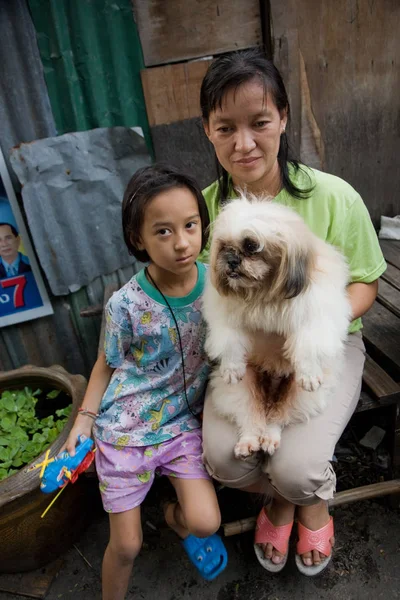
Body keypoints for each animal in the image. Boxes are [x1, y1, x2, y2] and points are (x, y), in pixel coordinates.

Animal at [203, 195, 350, 458]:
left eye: (251, 246)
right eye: (224, 246)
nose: (231, 260)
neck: (261, 292)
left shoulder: (314, 316)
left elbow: (307, 346)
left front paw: (309, 373)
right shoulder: (225, 320)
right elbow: (230, 343)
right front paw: (231, 367)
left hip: (298, 394)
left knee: (277, 417)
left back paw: (269, 438)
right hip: (241, 388)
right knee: (251, 416)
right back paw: (249, 442)